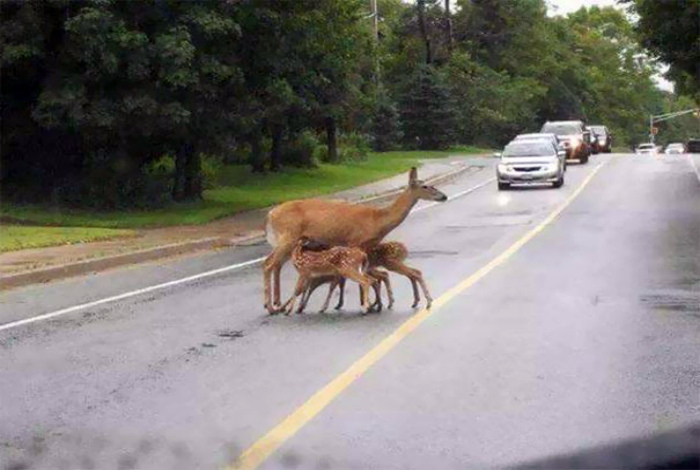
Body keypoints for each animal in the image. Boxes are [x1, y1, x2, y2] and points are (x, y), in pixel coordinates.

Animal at [262, 167, 448, 314]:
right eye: (425, 186)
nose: (444, 196)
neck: (377, 220)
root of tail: (270, 214)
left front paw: (370, 303)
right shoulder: (356, 241)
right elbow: (359, 275)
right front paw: (368, 304)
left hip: (289, 241)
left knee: (275, 263)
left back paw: (277, 304)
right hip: (288, 236)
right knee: (269, 264)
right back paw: (271, 307)